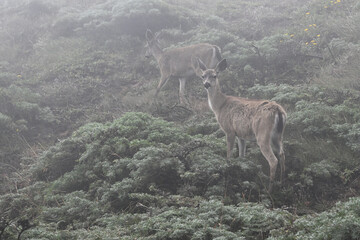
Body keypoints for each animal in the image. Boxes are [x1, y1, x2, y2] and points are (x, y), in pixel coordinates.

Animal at [194, 58, 286, 191]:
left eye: (215, 76)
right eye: (203, 76)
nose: (206, 84)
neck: (220, 106)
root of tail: (278, 111)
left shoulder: (229, 130)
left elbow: (229, 154)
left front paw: (228, 171)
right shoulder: (241, 135)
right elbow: (242, 156)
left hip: (262, 134)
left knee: (273, 160)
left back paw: (269, 189)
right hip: (278, 135)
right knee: (282, 154)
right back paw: (282, 182)